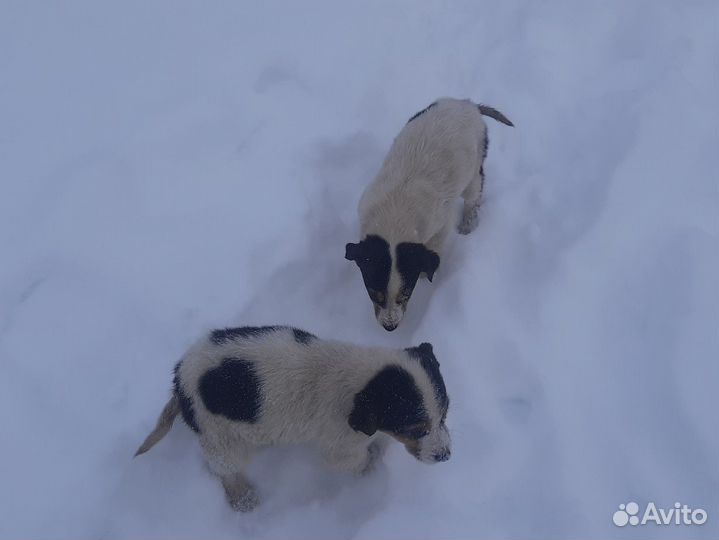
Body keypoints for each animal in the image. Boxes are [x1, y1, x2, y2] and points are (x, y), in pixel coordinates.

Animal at [135, 324, 450, 510]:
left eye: (445, 415)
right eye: (417, 428)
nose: (445, 456)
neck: (361, 380)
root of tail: (179, 382)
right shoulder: (341, 449)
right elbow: (358, 462)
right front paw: (372, 468)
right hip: (220, 437)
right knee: (225, 470)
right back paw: (243, 498)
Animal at [348, 99, 512, 332]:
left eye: (406, 294)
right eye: (374, 293)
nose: (390, 327)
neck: (394, 216)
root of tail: (469, 105)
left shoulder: (440, 224)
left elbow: (434, 249)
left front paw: (428, 275)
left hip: (473, 168)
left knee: (474, 193)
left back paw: (468, 224)